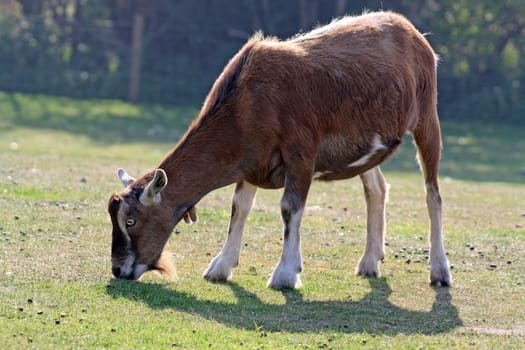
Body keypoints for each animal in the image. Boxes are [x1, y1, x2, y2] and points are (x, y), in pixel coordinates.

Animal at [106, 11, 450, 290]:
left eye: (131, 221)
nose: (118, 270)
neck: (247, 102)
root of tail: (410, 31)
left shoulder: (301, 151)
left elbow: (290, 207)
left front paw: (285, 274)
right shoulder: (251, 160)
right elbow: (240, 207)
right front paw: (221, 267)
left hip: (427, 118)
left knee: (433, 194)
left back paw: (439, 271)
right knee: (377, 188)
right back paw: (369, 262)